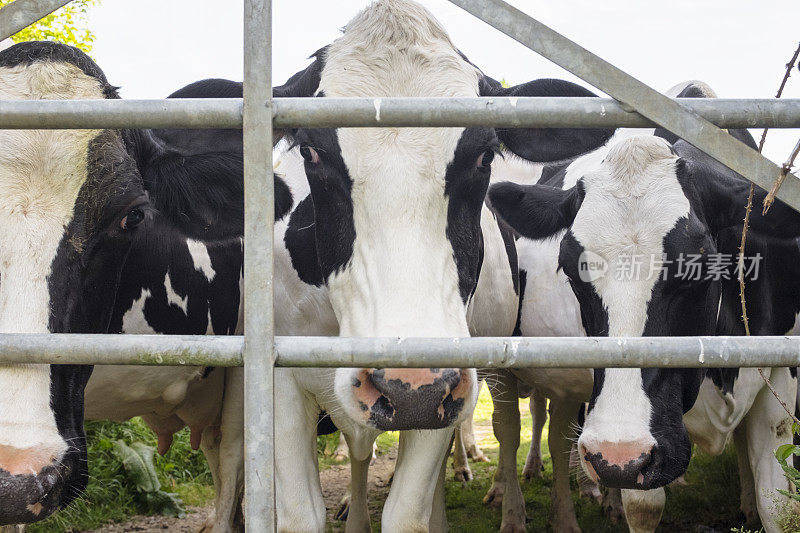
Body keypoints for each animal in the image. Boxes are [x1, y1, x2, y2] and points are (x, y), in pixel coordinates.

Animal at [268, 0, 612, 524]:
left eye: (485, 155)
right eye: (310, 151)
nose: (409, 386)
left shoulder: (448, 386)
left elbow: (408, 512)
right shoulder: (283, 384)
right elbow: (302, 513)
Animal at [490, 81, 800, 528]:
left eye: (699, 264)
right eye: (570, 269)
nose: (617, 454)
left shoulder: (779, 373)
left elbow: (777, 503)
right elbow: (644, 505)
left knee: (559, 428)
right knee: (511, 428)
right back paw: (513, 507)